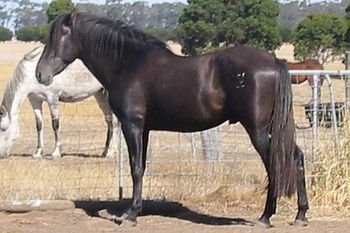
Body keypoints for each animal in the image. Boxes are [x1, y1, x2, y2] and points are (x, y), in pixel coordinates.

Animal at [36, 11, 308, 227]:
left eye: (59, 36)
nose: (40, 74)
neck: (128, 63)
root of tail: (273, 60)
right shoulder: (144, 129)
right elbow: (141, 166)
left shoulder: (132, 126)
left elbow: (135, 168)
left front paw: (130, 215)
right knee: (296, 157)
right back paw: (300, 215)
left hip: (258, 130)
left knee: (276, 163)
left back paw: (266, 217)